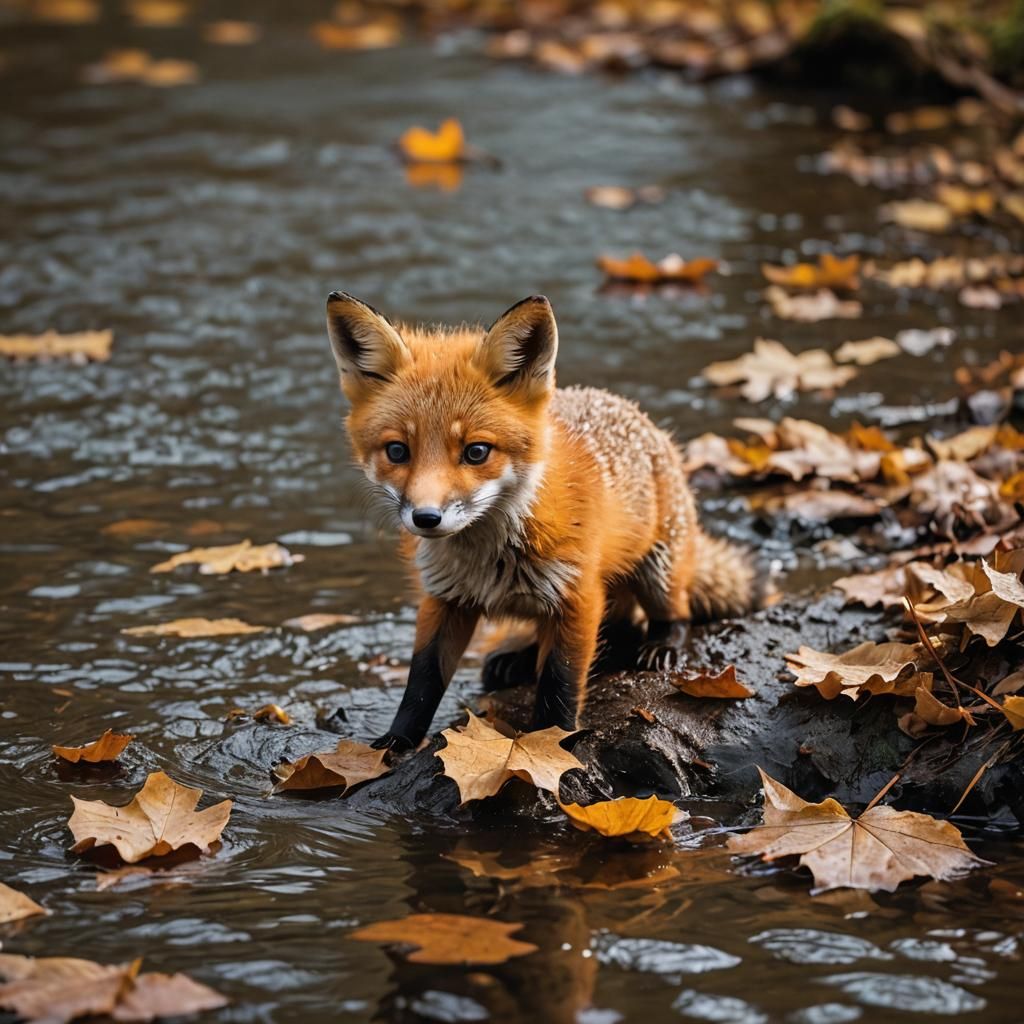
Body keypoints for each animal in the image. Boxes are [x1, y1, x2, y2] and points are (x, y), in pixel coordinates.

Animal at [326, 291, 757, 751]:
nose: (426, 518)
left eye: (476, 452)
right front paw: (397, 740)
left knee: (670, 615)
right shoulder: (444, 598)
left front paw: (550, 744)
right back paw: (516, 660)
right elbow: (422, 680)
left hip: (659, 569)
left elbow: (559, 682)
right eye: (397, 451)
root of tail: (638, 415)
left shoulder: (577, 595)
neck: (487, 558)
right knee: (613, 627)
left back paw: (661, 644)